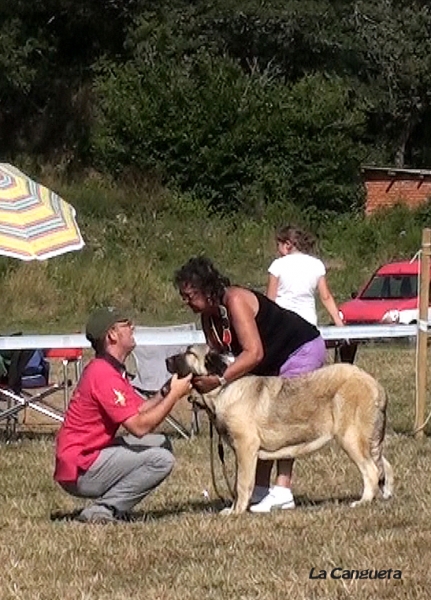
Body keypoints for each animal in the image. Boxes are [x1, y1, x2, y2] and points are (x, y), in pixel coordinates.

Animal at [166, 344, 394, 512]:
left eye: (189, 353)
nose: (167, 360)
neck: (224, 389)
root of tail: (376, 386)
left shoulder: (245, 447)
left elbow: (242, 484)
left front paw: (235, 512)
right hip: (368, 440)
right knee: (385, 466)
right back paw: (386, 495)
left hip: (350, 437)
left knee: (372, 471)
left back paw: (363, 502)